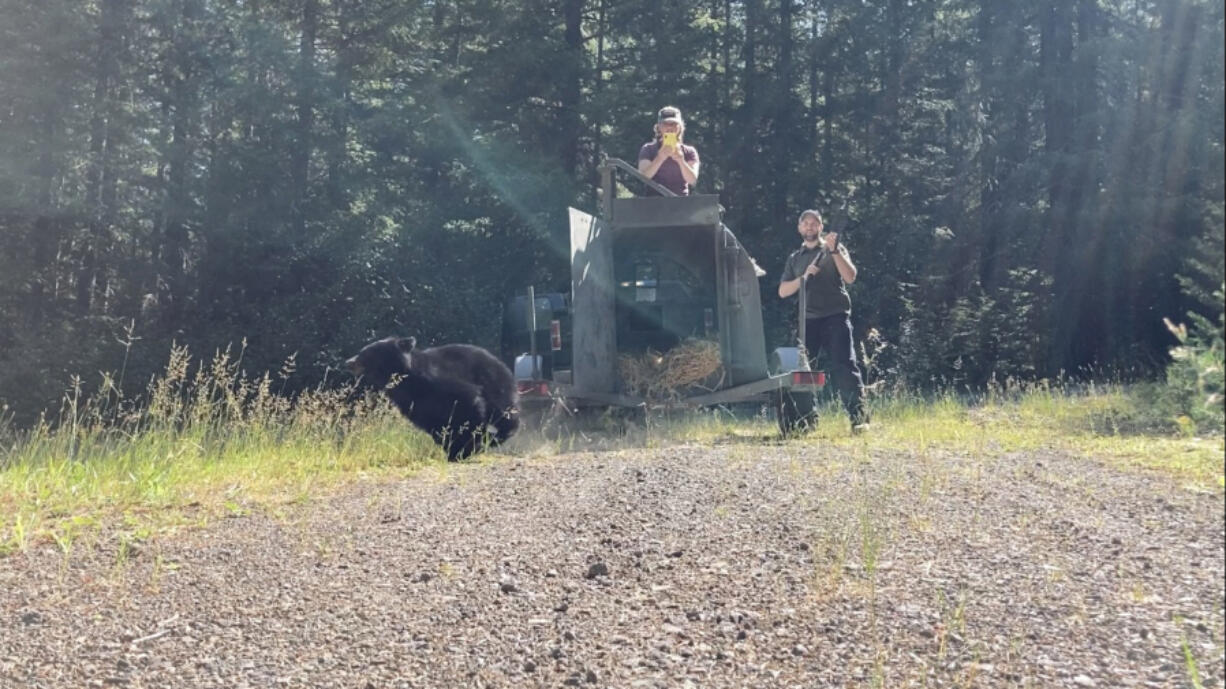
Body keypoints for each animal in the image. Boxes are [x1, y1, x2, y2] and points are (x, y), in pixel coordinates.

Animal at [343, 335, 519, 458]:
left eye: (365, 353)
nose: (348, 362)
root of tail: (502, 364)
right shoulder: (414, 404)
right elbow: (435, 425)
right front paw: (453, 449)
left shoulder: (442, 382)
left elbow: (468, 403)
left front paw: (469, 446)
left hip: (494, 383)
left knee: (502, 410)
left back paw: (500, 435)